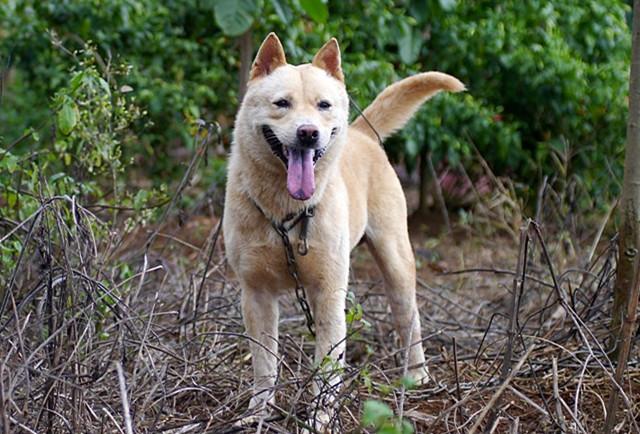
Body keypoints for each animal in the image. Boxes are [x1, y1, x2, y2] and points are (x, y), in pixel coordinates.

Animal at [222, 34, 462, 428]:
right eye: (282, 103)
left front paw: (319, 418)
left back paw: (416, 373)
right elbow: (264, 363)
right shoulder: (255, 294)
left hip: (397, 263)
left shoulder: (329, 293)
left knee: (409, 320)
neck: (287, 214)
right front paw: (258, 413)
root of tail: (362, 134)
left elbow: (327, 368)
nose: (308, 133)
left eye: (324, 105)